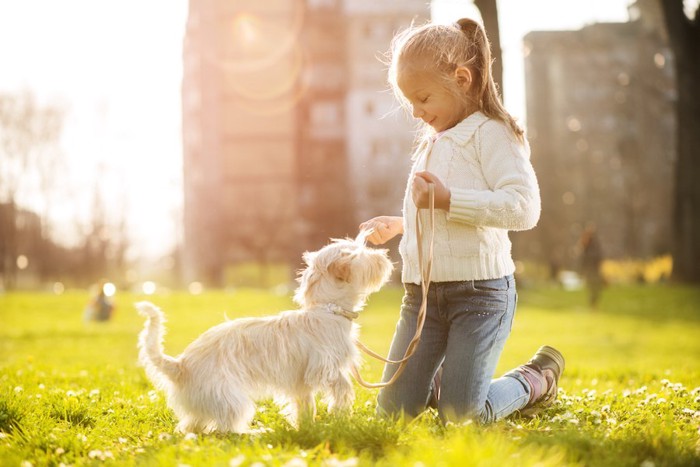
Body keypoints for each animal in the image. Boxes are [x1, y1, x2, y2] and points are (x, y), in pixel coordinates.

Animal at [134, 234, 392, 436]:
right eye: (362, 254)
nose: (384, 254)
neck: (327, 309)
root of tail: (180, 365)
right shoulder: (323, 367)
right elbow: (342, 385)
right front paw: (341, 409)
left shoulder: (301, 384)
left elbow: (306, 405)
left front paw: (308, 428)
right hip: (232, 399)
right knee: (226, 430)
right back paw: (255, 433)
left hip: (205, 405)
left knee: (191, 427)